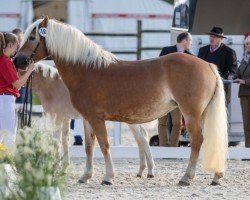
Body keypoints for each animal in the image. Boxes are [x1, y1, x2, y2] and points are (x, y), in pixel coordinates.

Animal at [14, 17, 229, 186]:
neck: (86, 70)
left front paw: (108, 177)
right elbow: (89, 146)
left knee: (197, 140)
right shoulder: (86, 118)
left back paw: (186, 177)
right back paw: (216, 176)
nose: (17, 61)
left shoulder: (96, 119)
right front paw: (86, 176)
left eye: (32, 37)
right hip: (202, 114)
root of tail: (208, 65)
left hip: (190, 113)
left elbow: (104, 145)